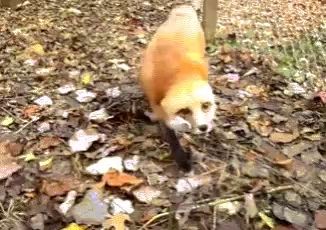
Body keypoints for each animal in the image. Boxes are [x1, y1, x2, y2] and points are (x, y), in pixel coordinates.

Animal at [138, 4, 216, 172]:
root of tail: (184, 8)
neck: (181, 74)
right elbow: (170, 131)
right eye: (184, 110)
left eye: (205, 106)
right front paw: (181, 159)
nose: (203, 127)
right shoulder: (155, 100)